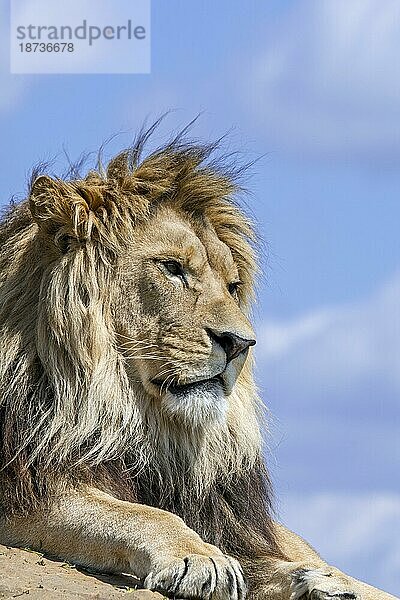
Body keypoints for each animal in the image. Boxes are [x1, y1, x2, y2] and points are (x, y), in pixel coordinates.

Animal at [0, 127, 396, 600]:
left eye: (232, 286)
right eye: (172, 268)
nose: (240, 343)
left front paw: (320, 581)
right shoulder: (24, 487)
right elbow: (139, 513)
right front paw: (200, 558)